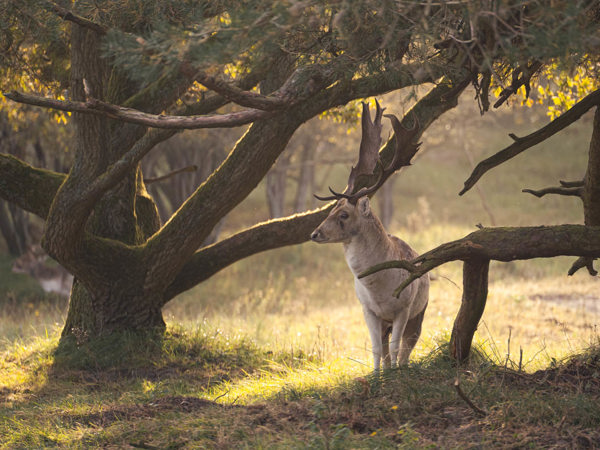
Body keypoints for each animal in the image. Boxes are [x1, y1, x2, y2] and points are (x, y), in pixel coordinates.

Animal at [310, 100, 432, 370]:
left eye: (344, 214)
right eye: (331, 210)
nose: (314, 233)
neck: (380, 291)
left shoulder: (404, 308)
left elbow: (397, 348)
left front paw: (396, 373)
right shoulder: (367, 310)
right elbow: (376, 348)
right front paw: (377, 375)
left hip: (420, 310)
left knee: (409, 344)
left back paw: (402, 366)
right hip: (385, 321)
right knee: (385, 346)